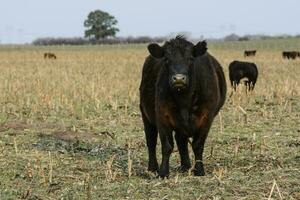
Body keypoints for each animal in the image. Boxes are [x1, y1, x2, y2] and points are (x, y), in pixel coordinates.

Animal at [139, 36, 226, 178]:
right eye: (166, 59)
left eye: (190, 59)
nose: (179, 79)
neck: (184, 100)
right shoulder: (162, 116)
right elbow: (167, 146)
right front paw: (163, 172)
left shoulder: (207, 117)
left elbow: (198, 145)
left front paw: (199, 170)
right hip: (145, 114)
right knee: (151, 140)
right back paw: (152, 167)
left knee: (181, 140)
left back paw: (186, 166)